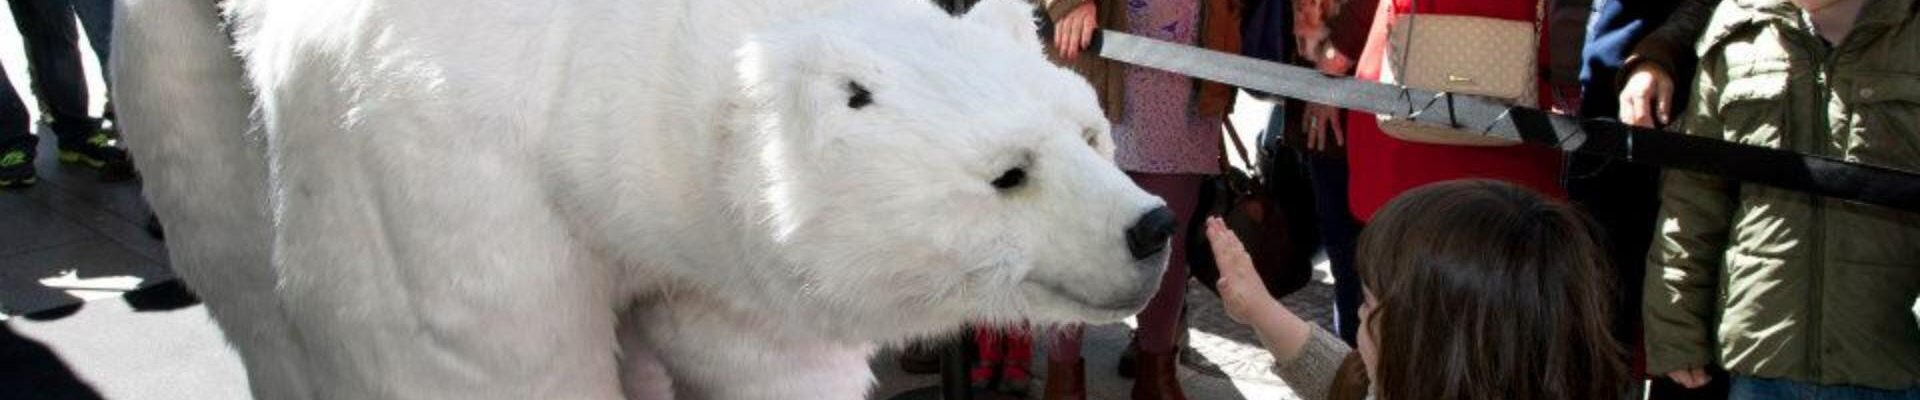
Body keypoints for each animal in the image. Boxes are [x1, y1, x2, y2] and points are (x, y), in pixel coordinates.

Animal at [112, 0, 1175, 398]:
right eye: (1010, 172)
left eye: (1088, 133)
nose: (1153, 226)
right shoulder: (442, 182)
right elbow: (484, 362)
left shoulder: (723, 261)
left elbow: (756, 356)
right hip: (184, 59)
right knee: (240, 259)